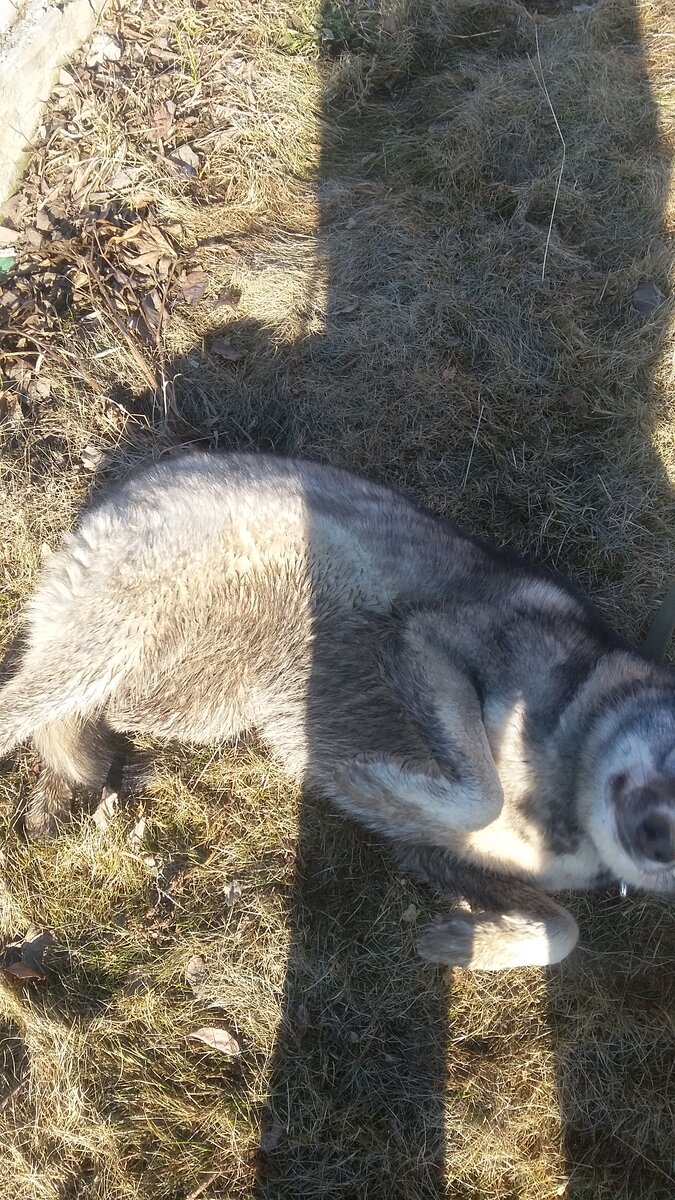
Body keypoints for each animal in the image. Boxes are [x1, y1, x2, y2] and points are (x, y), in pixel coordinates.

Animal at [0, 453, 667, 969]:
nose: (656, 835)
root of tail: (124, 486)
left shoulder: (431, 854)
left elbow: (562, 930)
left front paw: (472, 943)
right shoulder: (427, 640)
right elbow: (483, 795)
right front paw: (375, 783)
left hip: (193, 698)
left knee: (89, 718)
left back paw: (74, 785)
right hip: (116, 639)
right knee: (20, 702)